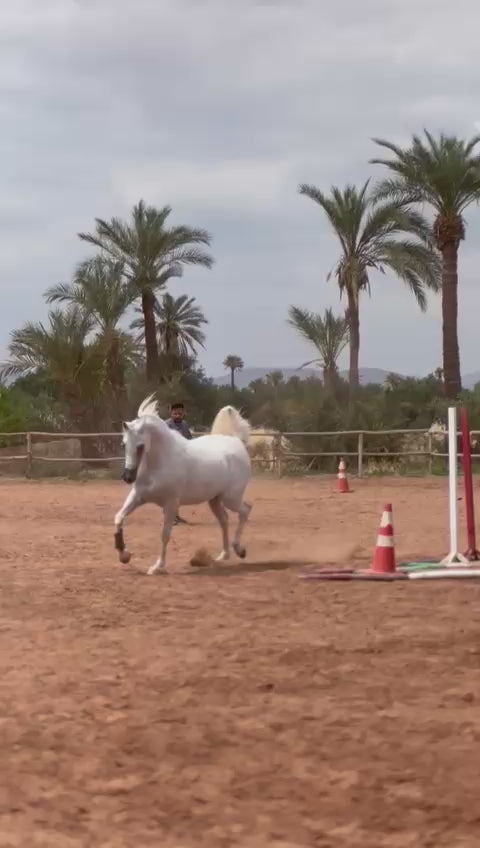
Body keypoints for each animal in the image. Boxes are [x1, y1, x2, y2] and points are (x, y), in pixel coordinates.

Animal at [114, 395, 252, 575]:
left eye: (141, 446)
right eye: (123, 444)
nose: (128, 477)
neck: (160, 461)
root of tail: (236, 441)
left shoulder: (171, 503)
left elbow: (165, 534)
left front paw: (157, 567)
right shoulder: (138, 497)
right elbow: (118, 518)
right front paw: (124, 555)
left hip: (231, 498)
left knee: (245, 511)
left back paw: (239, 550)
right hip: (214, 500)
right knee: (225, 520)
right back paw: (223, 555)